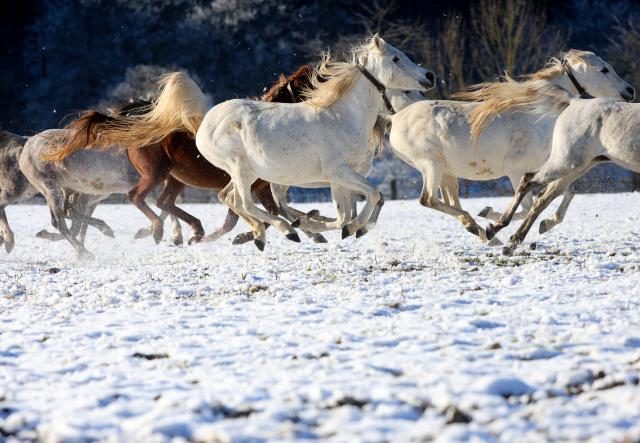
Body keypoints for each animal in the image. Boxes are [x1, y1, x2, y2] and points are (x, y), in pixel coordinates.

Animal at [42, 67, 316, 246]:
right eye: (311, 84)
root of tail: (138, 125)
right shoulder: (252, 185)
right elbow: (254, 215)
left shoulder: (256, 186)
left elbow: (249, 216)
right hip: (155, 174)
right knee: (138, 197)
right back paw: (159, 231)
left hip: (174, 178)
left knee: (163, 202)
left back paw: (193, 229)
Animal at [196, 34, 436, 250]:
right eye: (396, 58)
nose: (430, 75)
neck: (343, 117)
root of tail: (206, 123)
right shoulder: (338, 172)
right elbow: (371, 197)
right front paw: (350, 228)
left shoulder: (341, 178)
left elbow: (351, 211)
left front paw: (344, 228)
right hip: (241, 170)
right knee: (243, 202)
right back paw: (285, 231)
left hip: (248, 174)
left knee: (229, 198)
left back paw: (266, 234)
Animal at [378, 49, 632, 239]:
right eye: (604, 69)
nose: (630, 90)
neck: (538, 116)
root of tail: (395, 118)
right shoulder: (517, 171)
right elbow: (529, 204)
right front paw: (494, 219)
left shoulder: (551, 167)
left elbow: (562, 194)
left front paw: (544, 223)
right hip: (432, 165)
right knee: (428, 199)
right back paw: (478, 225)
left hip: (445, 172)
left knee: (447, 200)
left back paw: (477, 228)